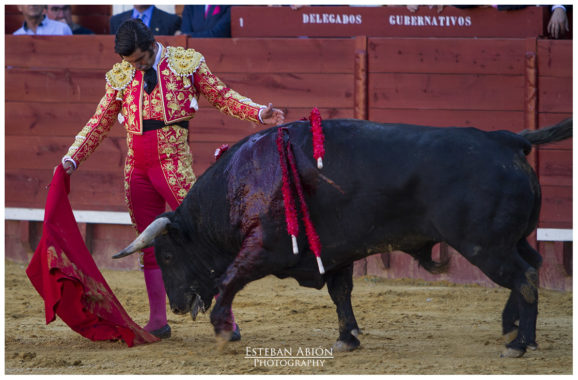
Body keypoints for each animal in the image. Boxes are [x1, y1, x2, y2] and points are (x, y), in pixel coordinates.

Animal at [115, 118, 568, 356]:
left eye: (167, 256)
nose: (176, 306)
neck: (239, 182)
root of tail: (507, 139)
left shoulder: (263, 248)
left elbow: (229, 279)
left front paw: (224, 331)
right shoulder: (335, 252)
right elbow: (341, 293)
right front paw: (346, 338)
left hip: (484, 246)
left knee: (525, 277)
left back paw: (520, 343)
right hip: (511, 241)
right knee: (532, 266)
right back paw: (510, 328)